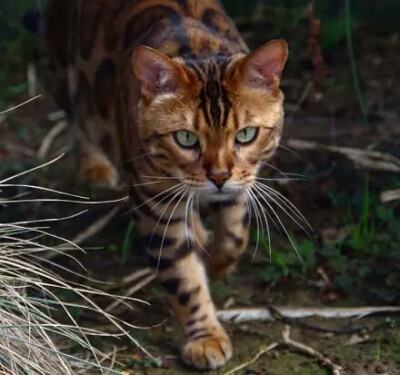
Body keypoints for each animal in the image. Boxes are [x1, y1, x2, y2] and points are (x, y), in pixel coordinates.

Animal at [44, 0, 288, 370]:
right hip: (64, 69)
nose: (218, 176)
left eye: (246, 134)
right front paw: (205, 337)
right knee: (78, 115)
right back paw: (94, 167)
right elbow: (184, 277)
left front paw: (217, 261)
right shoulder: (154, 203)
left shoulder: (241, 183)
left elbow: (235, 234)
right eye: (185, 138)